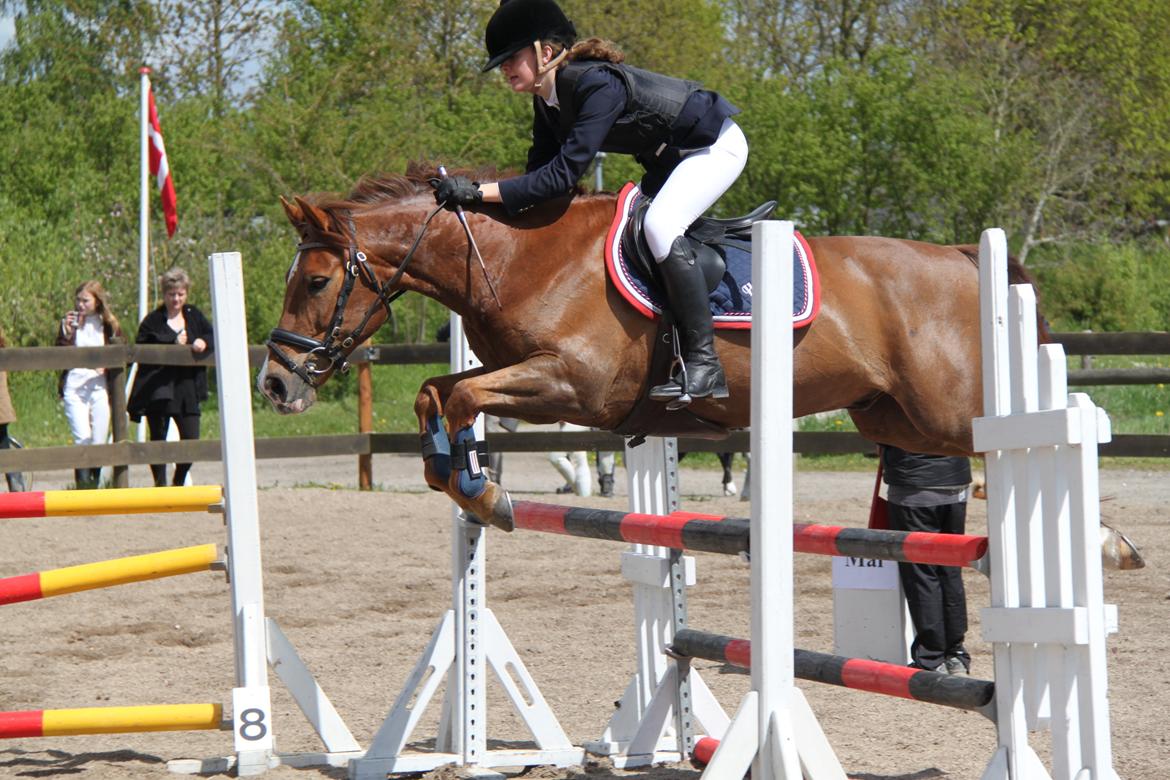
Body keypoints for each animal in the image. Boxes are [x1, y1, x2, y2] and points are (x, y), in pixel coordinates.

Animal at [258, 164, 1034, 530]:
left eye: (318, 280)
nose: (275, 383)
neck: (518, 258)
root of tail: (960, 257)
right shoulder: (522, 372)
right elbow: (436, 393)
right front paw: (456, 477)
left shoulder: (575, 386)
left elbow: (464, 396)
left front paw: (481, 491)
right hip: (889, 415)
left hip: (942, 410)